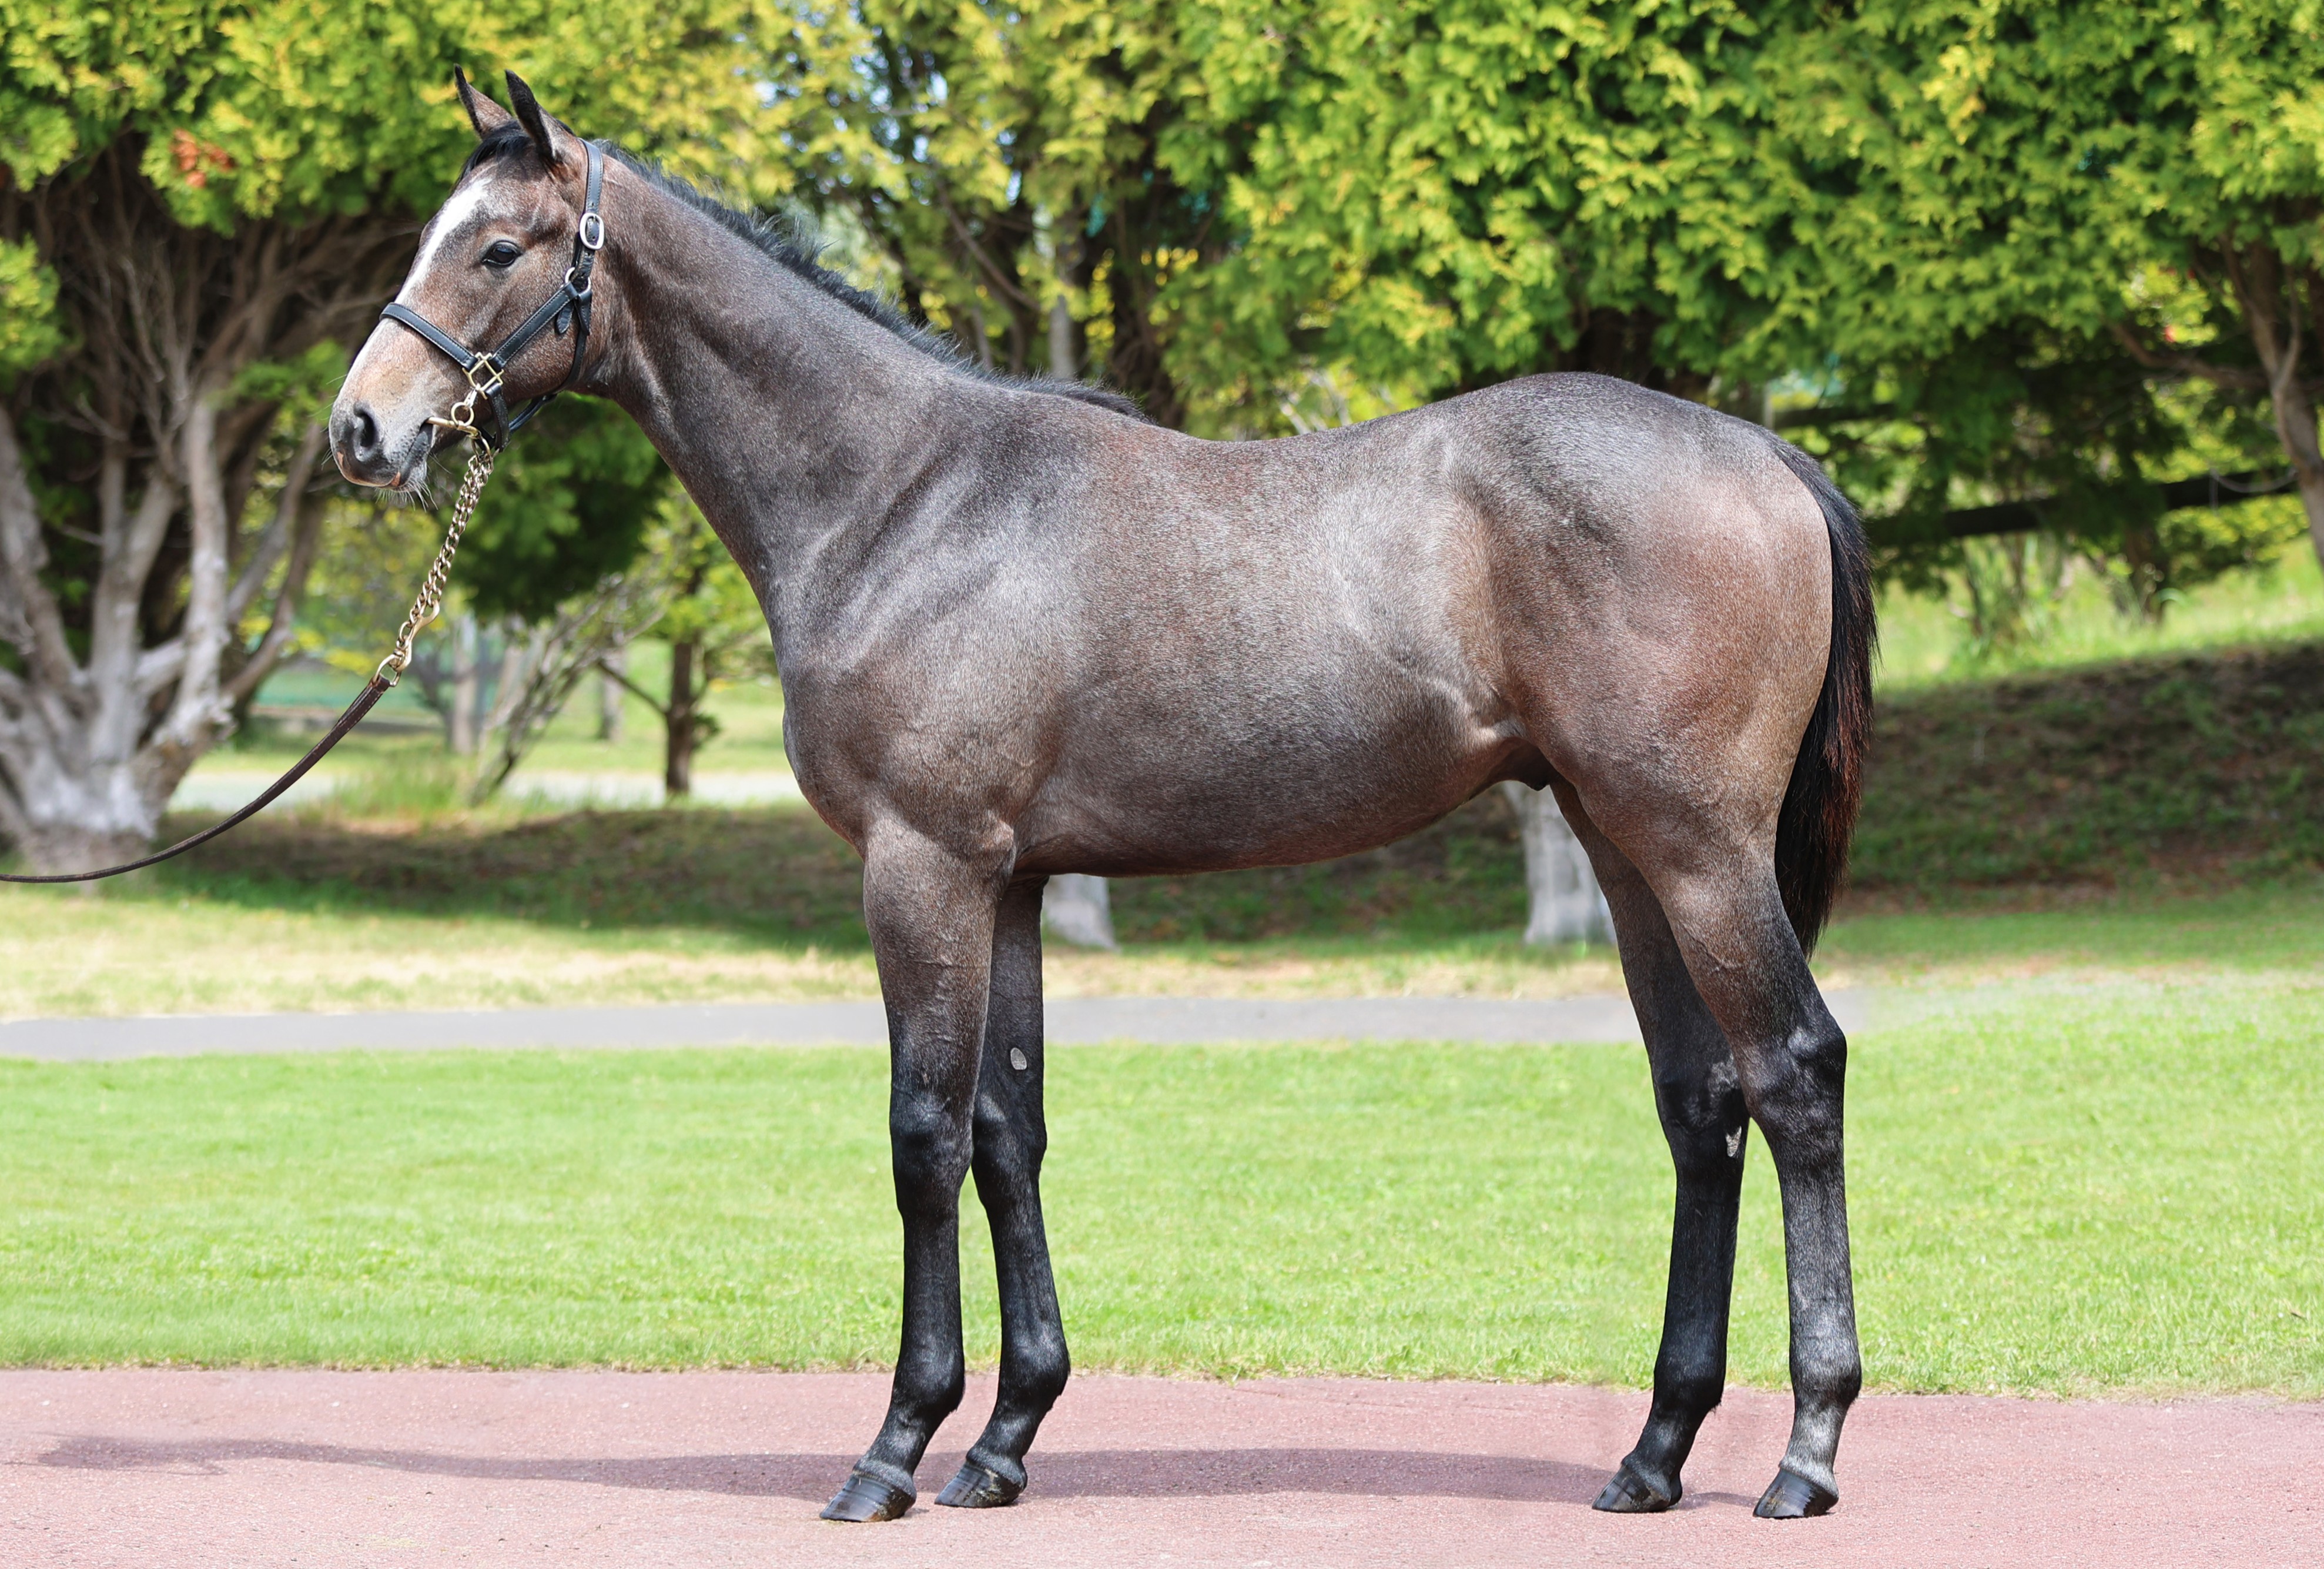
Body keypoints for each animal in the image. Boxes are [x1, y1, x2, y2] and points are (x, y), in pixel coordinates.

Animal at [331, 72, 1876, 1526]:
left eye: (498, 246)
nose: (362, 429)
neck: (905, 500)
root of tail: (1769, 456)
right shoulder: (1008, 878)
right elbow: (1005, 1134)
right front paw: (1003, 1438)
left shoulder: (922, 866)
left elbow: (922, 1135)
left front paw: (894, 1446)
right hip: (1623, 850)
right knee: (1699, 1103)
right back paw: (1655, 1448)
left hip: (1699, 853)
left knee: (1794, 1073)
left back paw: (1805, 1448)